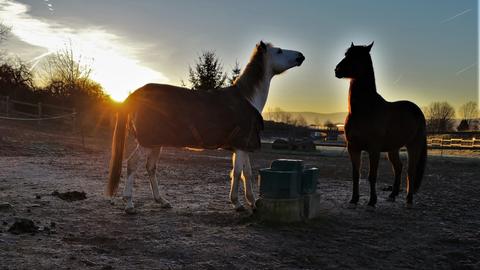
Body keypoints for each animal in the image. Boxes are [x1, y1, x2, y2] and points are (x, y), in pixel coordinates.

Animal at [107, 40, 306, 213]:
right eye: (278, 51)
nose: (300, 56)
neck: (247, 98)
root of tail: (136, 94)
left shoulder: (243, 145)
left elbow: (247, 173)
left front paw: (253, 202)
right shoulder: (241, 146)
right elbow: (237, 172)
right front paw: (237, 203)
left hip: (155, 143)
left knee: (150, 167)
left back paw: (162, 201)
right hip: (147, 142)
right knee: (132, 164)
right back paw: (129, 204)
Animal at [334, 41, 428, 207]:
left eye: (358, 56)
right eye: (346, 54)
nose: (337, 70)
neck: (364, 110)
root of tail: (417, 111)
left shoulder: (374, 149)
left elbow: (372, 176)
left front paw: (372, 201)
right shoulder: (353, 148)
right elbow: (355, 174)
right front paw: (354, 199)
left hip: (413, 146)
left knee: (410, 171)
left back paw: (409, 199)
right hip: (393, 148)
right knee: (398, 168)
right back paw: (392, 195)